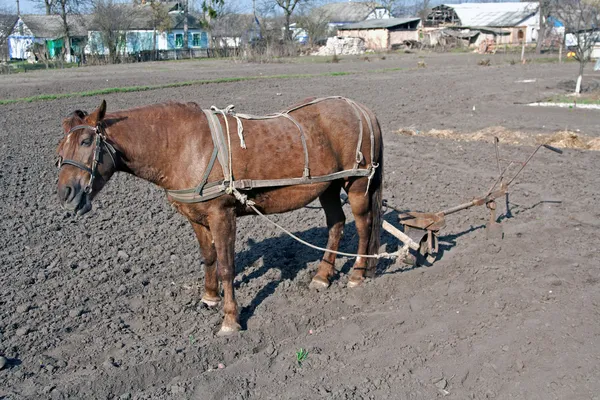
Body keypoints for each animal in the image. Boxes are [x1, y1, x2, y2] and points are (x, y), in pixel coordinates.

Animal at [56, 97, 384, 334]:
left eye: (86, 142)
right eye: (60, 147)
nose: (66, 193)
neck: (183, 146)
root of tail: (360, 108)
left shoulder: (221, 214)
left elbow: (227, 266)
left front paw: (230, 319)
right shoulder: (196, 216)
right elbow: (209, 258)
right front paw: (209, 297)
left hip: (355, 185)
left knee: (363, 225)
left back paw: (357, 274)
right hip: (326, 187)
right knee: (336, 224)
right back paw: (322, 276)